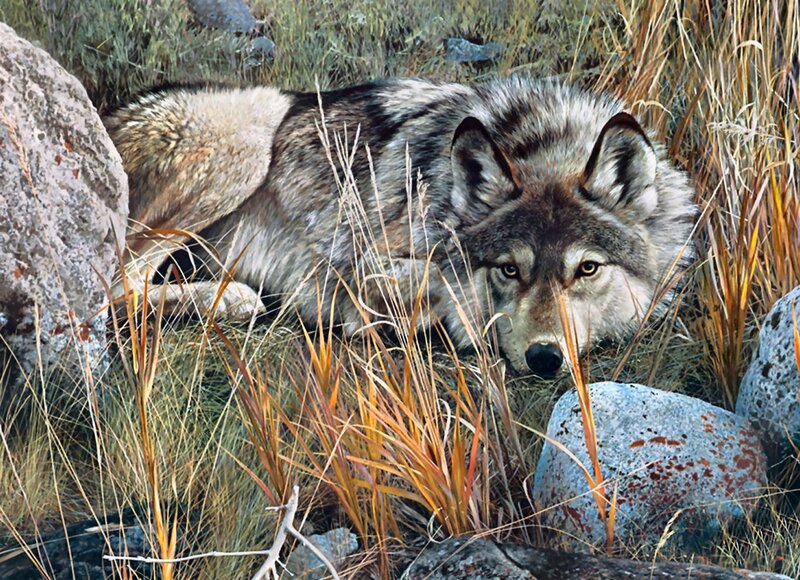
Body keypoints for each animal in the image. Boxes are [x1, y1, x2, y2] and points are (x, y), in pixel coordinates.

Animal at [105, 77, 696, 377]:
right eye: (509, 270)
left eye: (587, 269)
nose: (545, 358)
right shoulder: (365, 261)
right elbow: (440, 283)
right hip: (254, 126)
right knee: (115, 285)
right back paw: (231, 300)